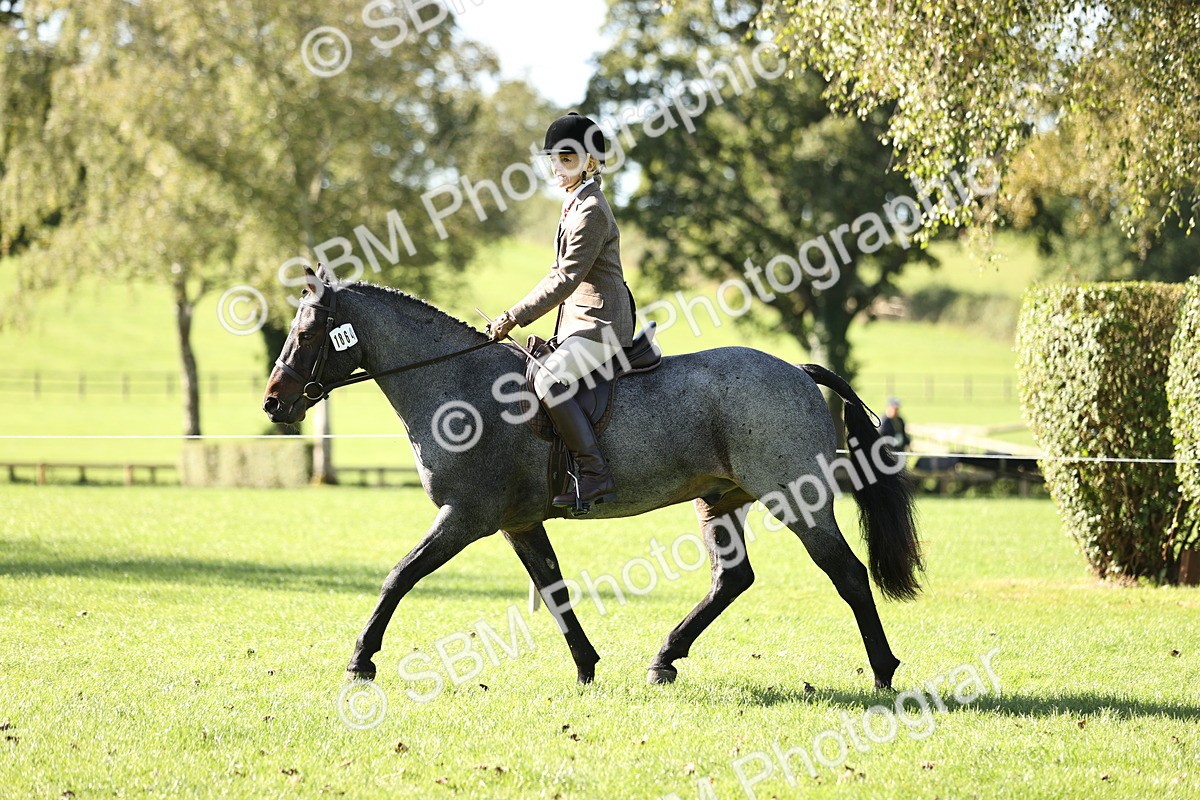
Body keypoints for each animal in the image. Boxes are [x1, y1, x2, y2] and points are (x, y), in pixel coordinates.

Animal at [262, 266, 923, 690]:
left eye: (307, 331)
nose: (274, 403)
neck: (459, 385)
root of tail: (797, 369)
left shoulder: (465, 518)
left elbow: (399, 576)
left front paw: (361, 661)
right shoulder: (518, 523)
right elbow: (553, 590)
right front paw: (586, 665)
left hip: (796, 499)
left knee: (847, 573)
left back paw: (884, 671)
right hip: (718, 500)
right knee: (732, 580)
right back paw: (664, 660)